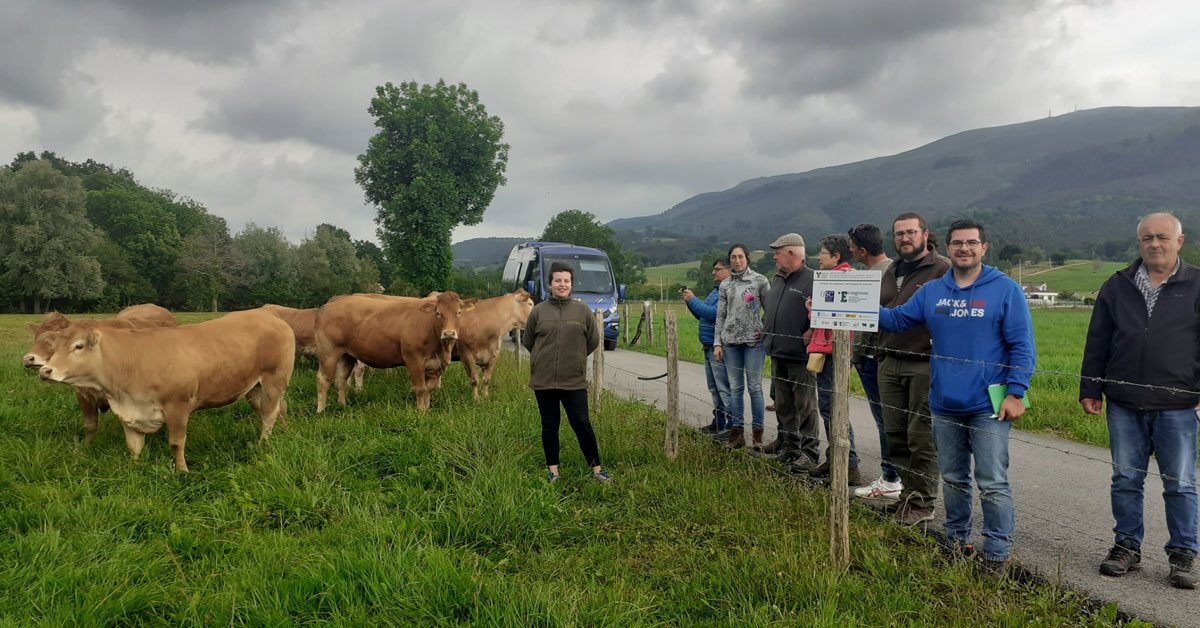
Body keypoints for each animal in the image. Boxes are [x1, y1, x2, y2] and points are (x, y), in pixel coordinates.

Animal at [22, 303, 177, 441]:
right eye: (35, 338)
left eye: (51, 341)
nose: (28, 359)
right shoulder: (84, 395)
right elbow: (90, 425)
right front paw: (86, 448)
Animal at [37, 309, 295, 470]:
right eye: (54, 347)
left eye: (78, 346)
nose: (46, 370)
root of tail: (270, 315)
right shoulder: (128, 411)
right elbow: (133, 446)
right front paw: (133, 468)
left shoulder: (177, 407)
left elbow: (176, 443)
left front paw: (182, 470)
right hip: (255, 388)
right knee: (275, 409)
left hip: (274, 380)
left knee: (269, 415)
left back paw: (262, 444)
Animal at [314, 291, 463, 413]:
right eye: (438, 313)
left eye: (459, 312)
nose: (449, 333)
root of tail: (332, 302)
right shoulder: (414, 360)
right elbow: (421, 388)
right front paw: (421, 411)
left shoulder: (436, 365)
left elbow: (429, 389)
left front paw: (427, 409)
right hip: (328, 353)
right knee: (323, 379)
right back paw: (321, 410)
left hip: (346, 356)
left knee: (340, 380)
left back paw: (342, 406)